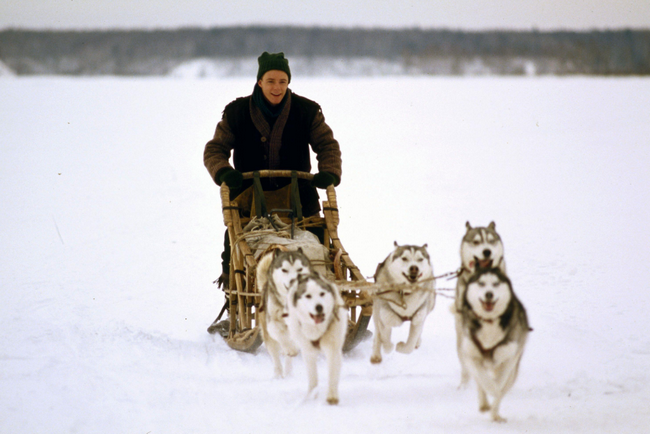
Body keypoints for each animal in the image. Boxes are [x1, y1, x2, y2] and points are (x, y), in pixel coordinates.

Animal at [256, 249, 312, 378]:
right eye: (284, 270)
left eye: (299, 269)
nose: (293, 280)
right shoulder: (272, 324)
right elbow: (282, 336)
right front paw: (289, 349)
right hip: (269, 337)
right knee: (276, 357)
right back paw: (279, 374)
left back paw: (288, 372)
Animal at [286, 272, 346, 406]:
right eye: (308, 296)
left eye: (322, 293)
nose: (319, 307)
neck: (316, 329)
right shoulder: (307, 351)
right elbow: (312, 376)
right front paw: (311, 396)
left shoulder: (333, 349)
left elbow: (332, 374)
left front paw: (332, 396)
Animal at [456, 266, 528, 422]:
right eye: (481, 283)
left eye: (495, 284)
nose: (489, 294)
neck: (489, 322)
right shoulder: (472, 356)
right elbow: (482, 379)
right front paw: (489, 390)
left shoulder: (508, 360)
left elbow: (500, 386)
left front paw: (495, 392)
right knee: (480, 383)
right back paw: (484, 404)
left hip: (513, 369)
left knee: (503, 388)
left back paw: (495, 415)